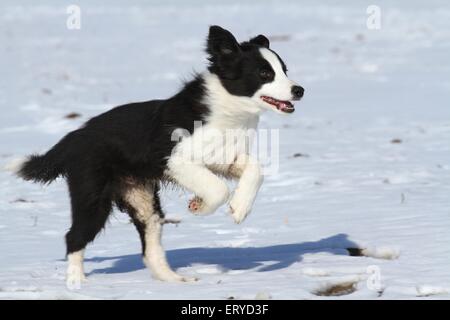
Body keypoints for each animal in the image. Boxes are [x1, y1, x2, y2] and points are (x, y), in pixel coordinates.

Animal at [17, 25, 306, 284]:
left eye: (285, 70)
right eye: (264, 73)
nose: (299, 90)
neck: (228, 108)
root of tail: (75, 137)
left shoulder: (224, 158)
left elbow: (255, 170)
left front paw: (238, 209)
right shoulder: (175, 159)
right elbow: (218, 188)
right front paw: (200, 207)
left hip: (141, 198)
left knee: (149, 243)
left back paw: (175, 281)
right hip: (92, 196)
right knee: (74, 237)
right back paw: (77, 283)